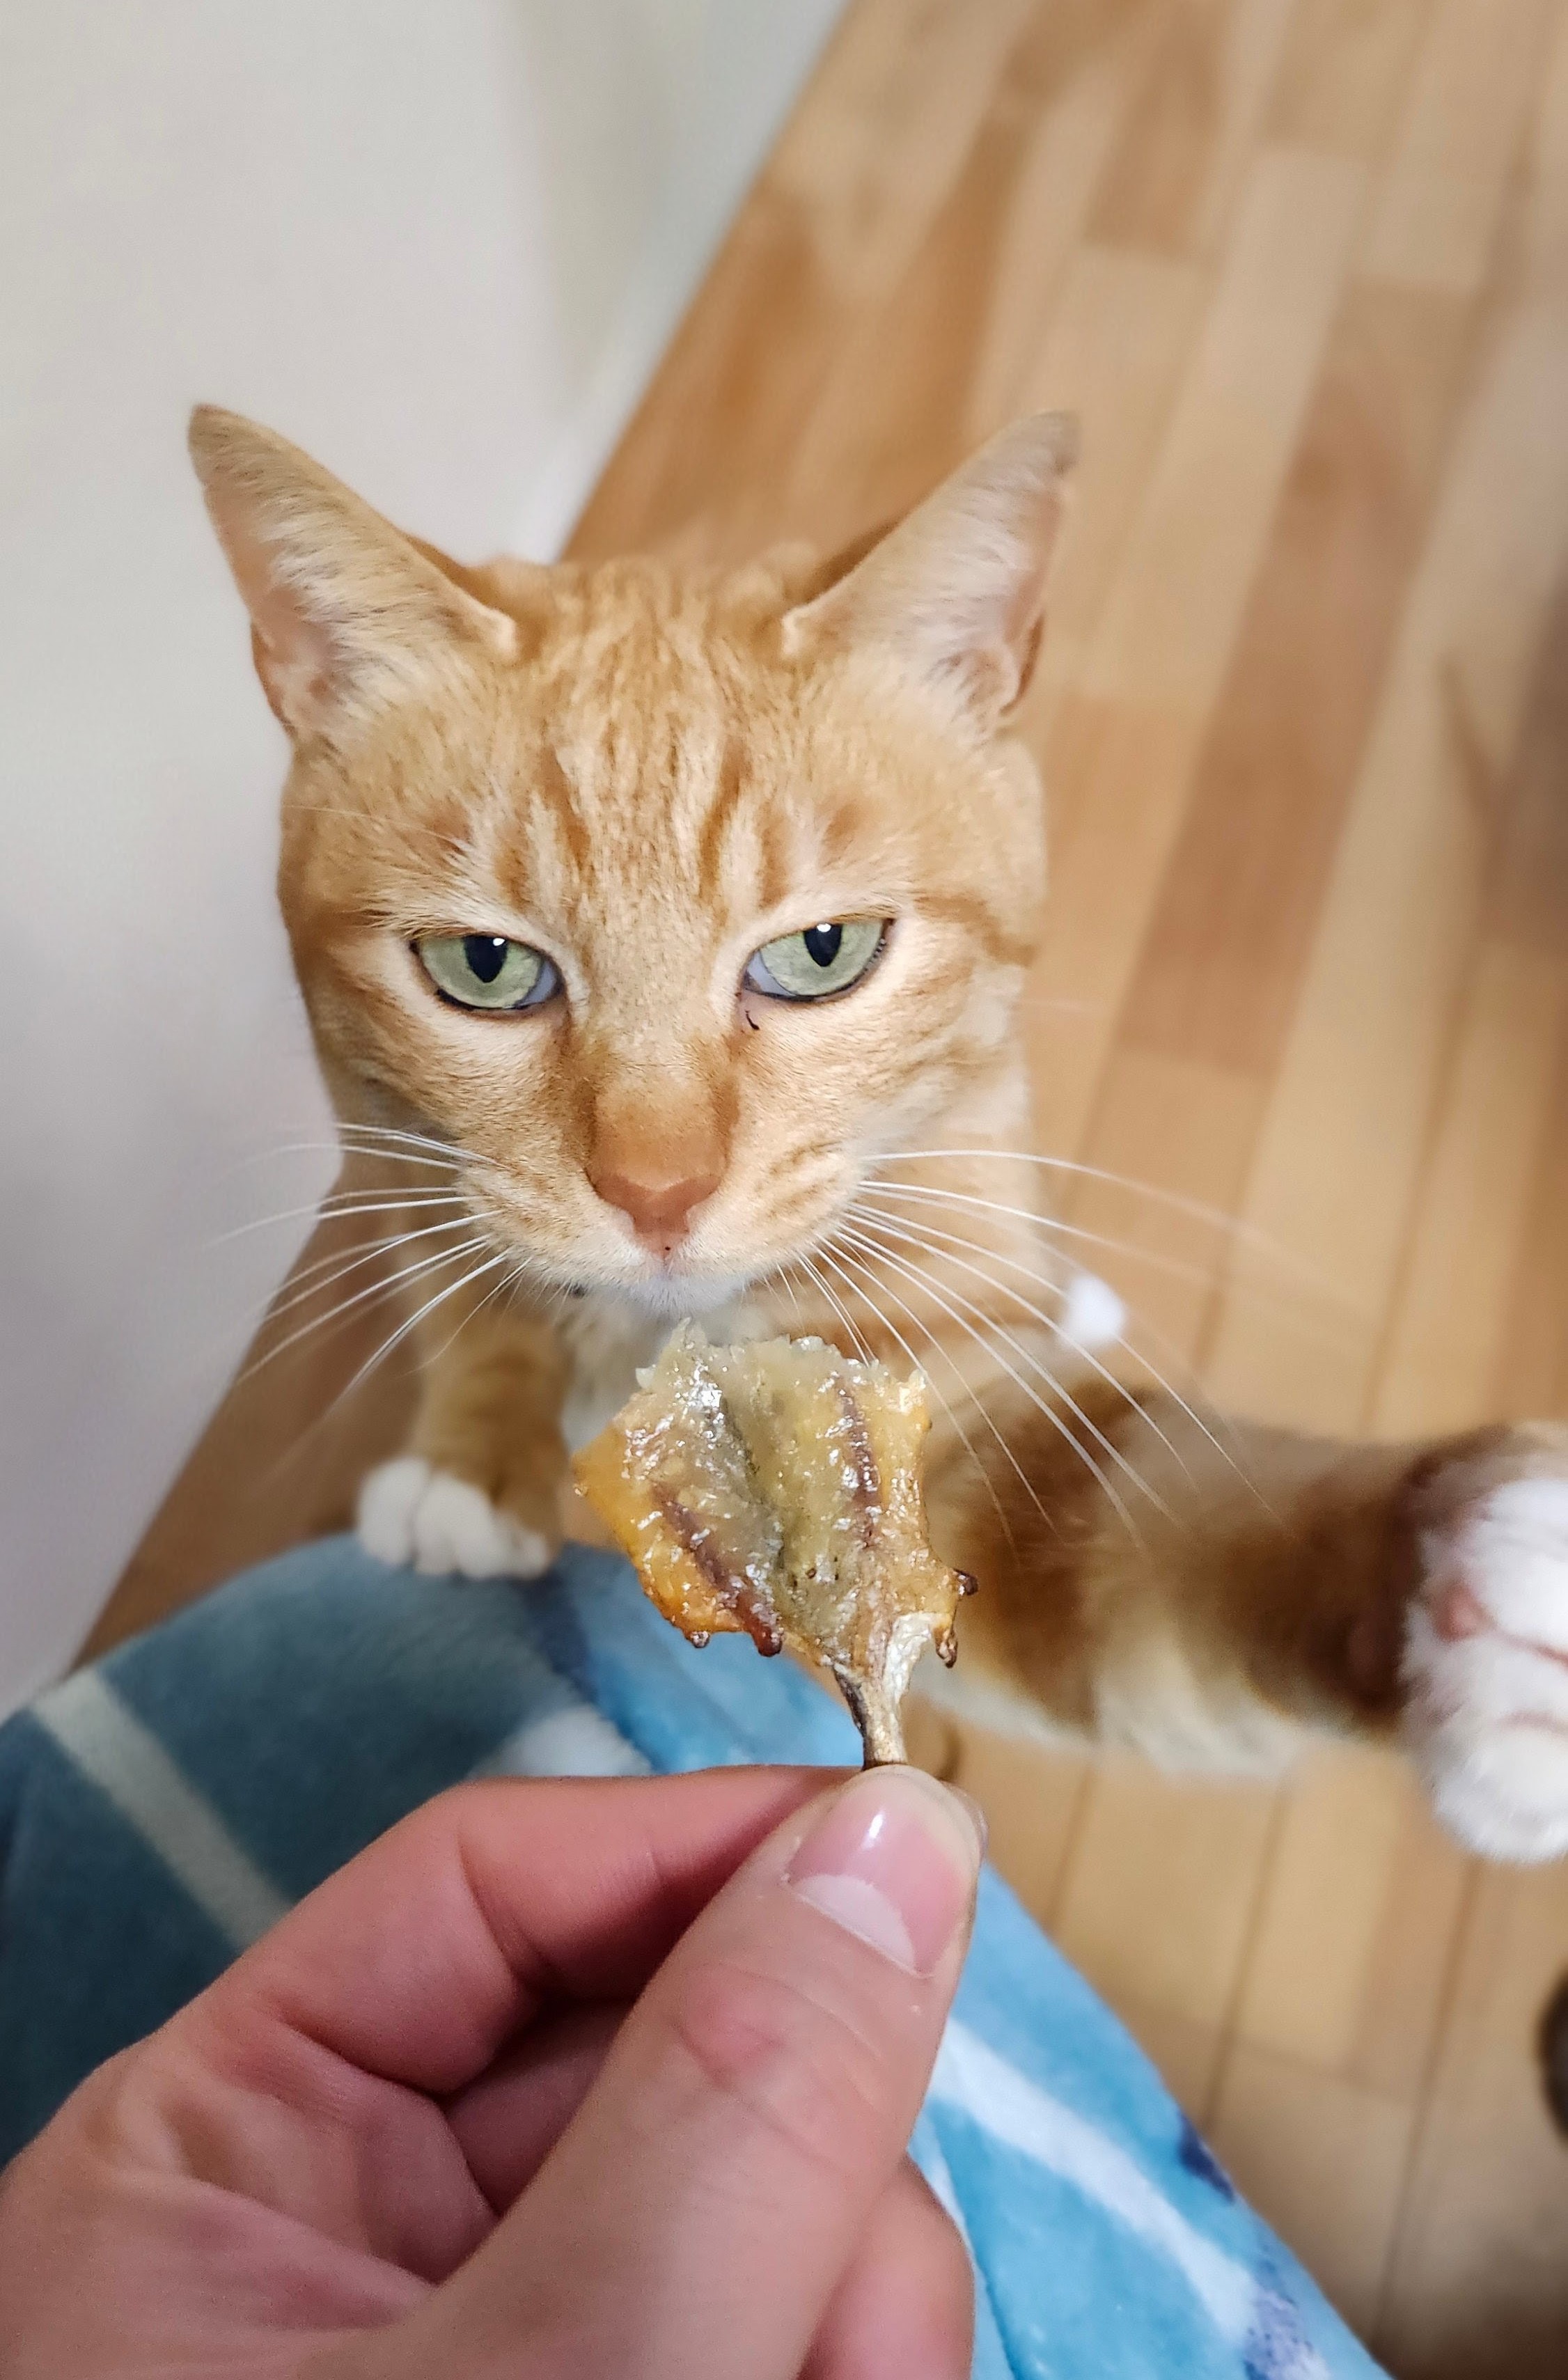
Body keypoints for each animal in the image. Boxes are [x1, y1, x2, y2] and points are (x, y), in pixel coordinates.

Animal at [190, 404, 1568, 1864]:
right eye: (486, 966)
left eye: (822, 952)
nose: (657, 1191)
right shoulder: (398, 1165)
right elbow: (477, 1298)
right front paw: (469, 1459)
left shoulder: (957, 1438)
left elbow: (1163, 1537)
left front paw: (1461, 1593)